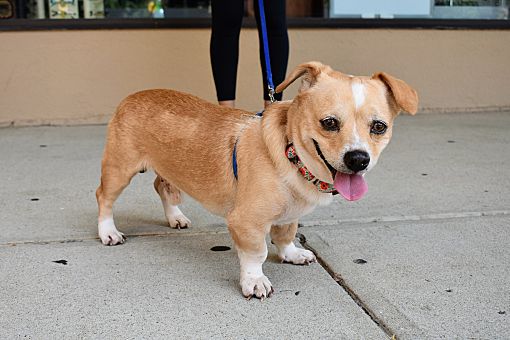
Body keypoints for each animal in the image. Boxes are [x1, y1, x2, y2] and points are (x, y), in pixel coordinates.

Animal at [95, 61, 418, 298]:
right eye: (329, 123)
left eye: (379, 127)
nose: (358, 159)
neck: (291, 155)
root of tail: (133, 96)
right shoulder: (245, 222)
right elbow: (257, 252)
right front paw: (254, 280)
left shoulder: (290, 216)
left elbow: (285, 235)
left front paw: (291, 254)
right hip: (119, 170)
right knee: (104, 198)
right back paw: (108, 232)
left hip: (169, 169)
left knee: (162, 186)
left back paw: (175, 217)